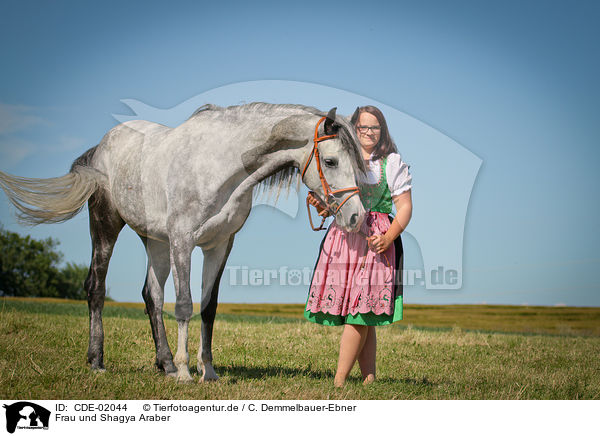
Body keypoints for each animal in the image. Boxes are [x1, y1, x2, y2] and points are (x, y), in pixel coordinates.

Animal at [0, 102, 368, 382]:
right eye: (331, 161)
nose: (356, 217)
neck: (221, 165)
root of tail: (100, 148)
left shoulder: (219, 246)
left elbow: (208, 307)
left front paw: (208, 371)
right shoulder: (183, 241)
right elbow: (184, 305)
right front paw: (185, 372)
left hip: (155, 241)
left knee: (151, 295)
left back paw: (162, 363)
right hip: (106, 226)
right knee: (96, 288)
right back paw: (98, 361)